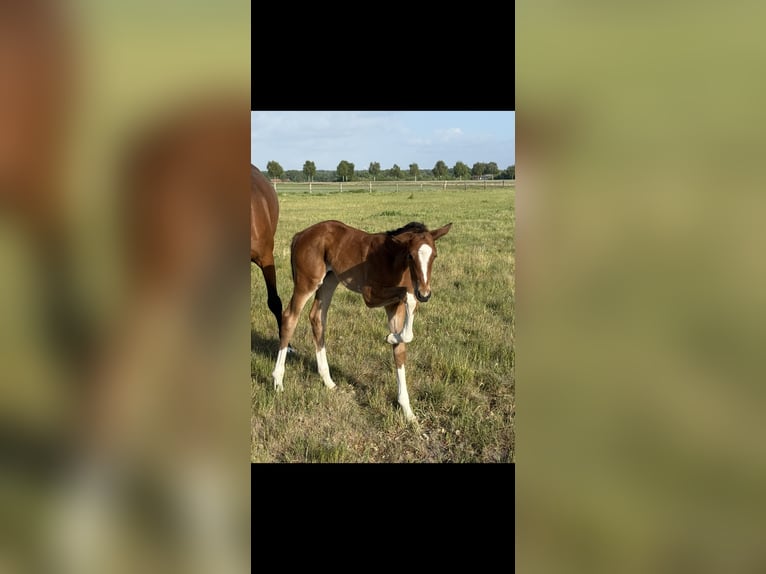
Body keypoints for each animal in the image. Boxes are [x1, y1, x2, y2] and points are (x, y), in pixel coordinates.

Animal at [271, 220, 452, 422]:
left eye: (434, 255)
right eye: (411, 255)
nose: (425, 294)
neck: (392, 259)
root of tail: (300, 235)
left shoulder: (395, 306)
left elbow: (401, 347)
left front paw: (407, 410)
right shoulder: (370, 295)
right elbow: (409, 296)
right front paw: (391, 336)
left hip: (330, 280)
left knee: (317, 317)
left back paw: (328, 380)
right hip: (307, 282)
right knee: (290, 317)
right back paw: (278, 380)